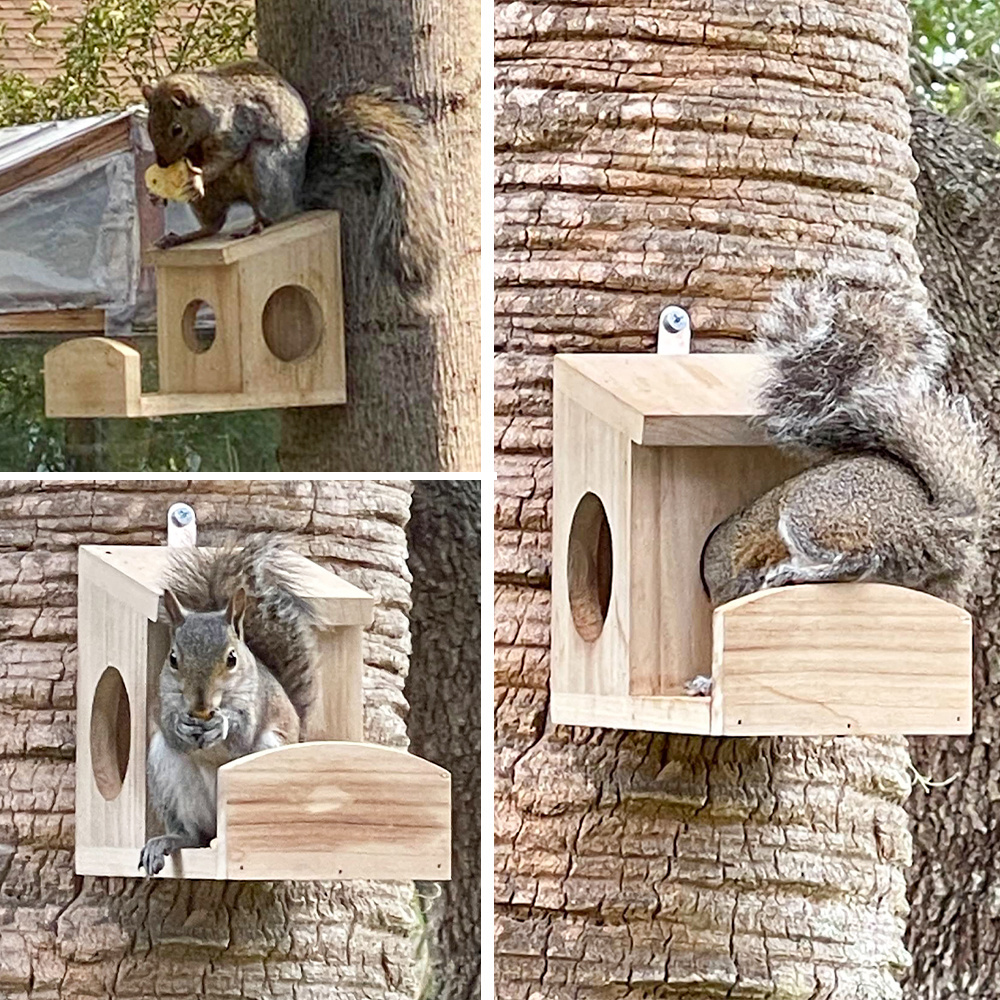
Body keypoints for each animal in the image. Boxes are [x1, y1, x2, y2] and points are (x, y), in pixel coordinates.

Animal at [142, 60, 442, 302]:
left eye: (177, 129)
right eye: (148, 125)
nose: (163, 163)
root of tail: (296, 192)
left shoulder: (238, 126)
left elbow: (227, 155)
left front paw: (198, 177)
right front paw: (158, 194)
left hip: (264, 168)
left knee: (270, 212)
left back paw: (256, 225)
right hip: (215, 197)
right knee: (212, 225)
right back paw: (182, 237)